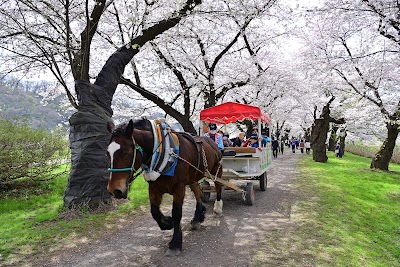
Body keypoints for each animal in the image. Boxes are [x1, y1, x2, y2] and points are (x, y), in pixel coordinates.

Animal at [106, 119, 223, 258]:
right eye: (107, 153)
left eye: (126, 152)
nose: (114, 190)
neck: (167, 153)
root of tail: (212, 142)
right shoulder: (154, 187)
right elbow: (154, 211)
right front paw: (167, 223)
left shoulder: (179, 187)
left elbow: (177, 213)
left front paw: (175, 243)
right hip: (193, 176)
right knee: (197, 191)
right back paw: (197, 217)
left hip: (216, 170)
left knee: (218, 186)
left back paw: (217, 208)